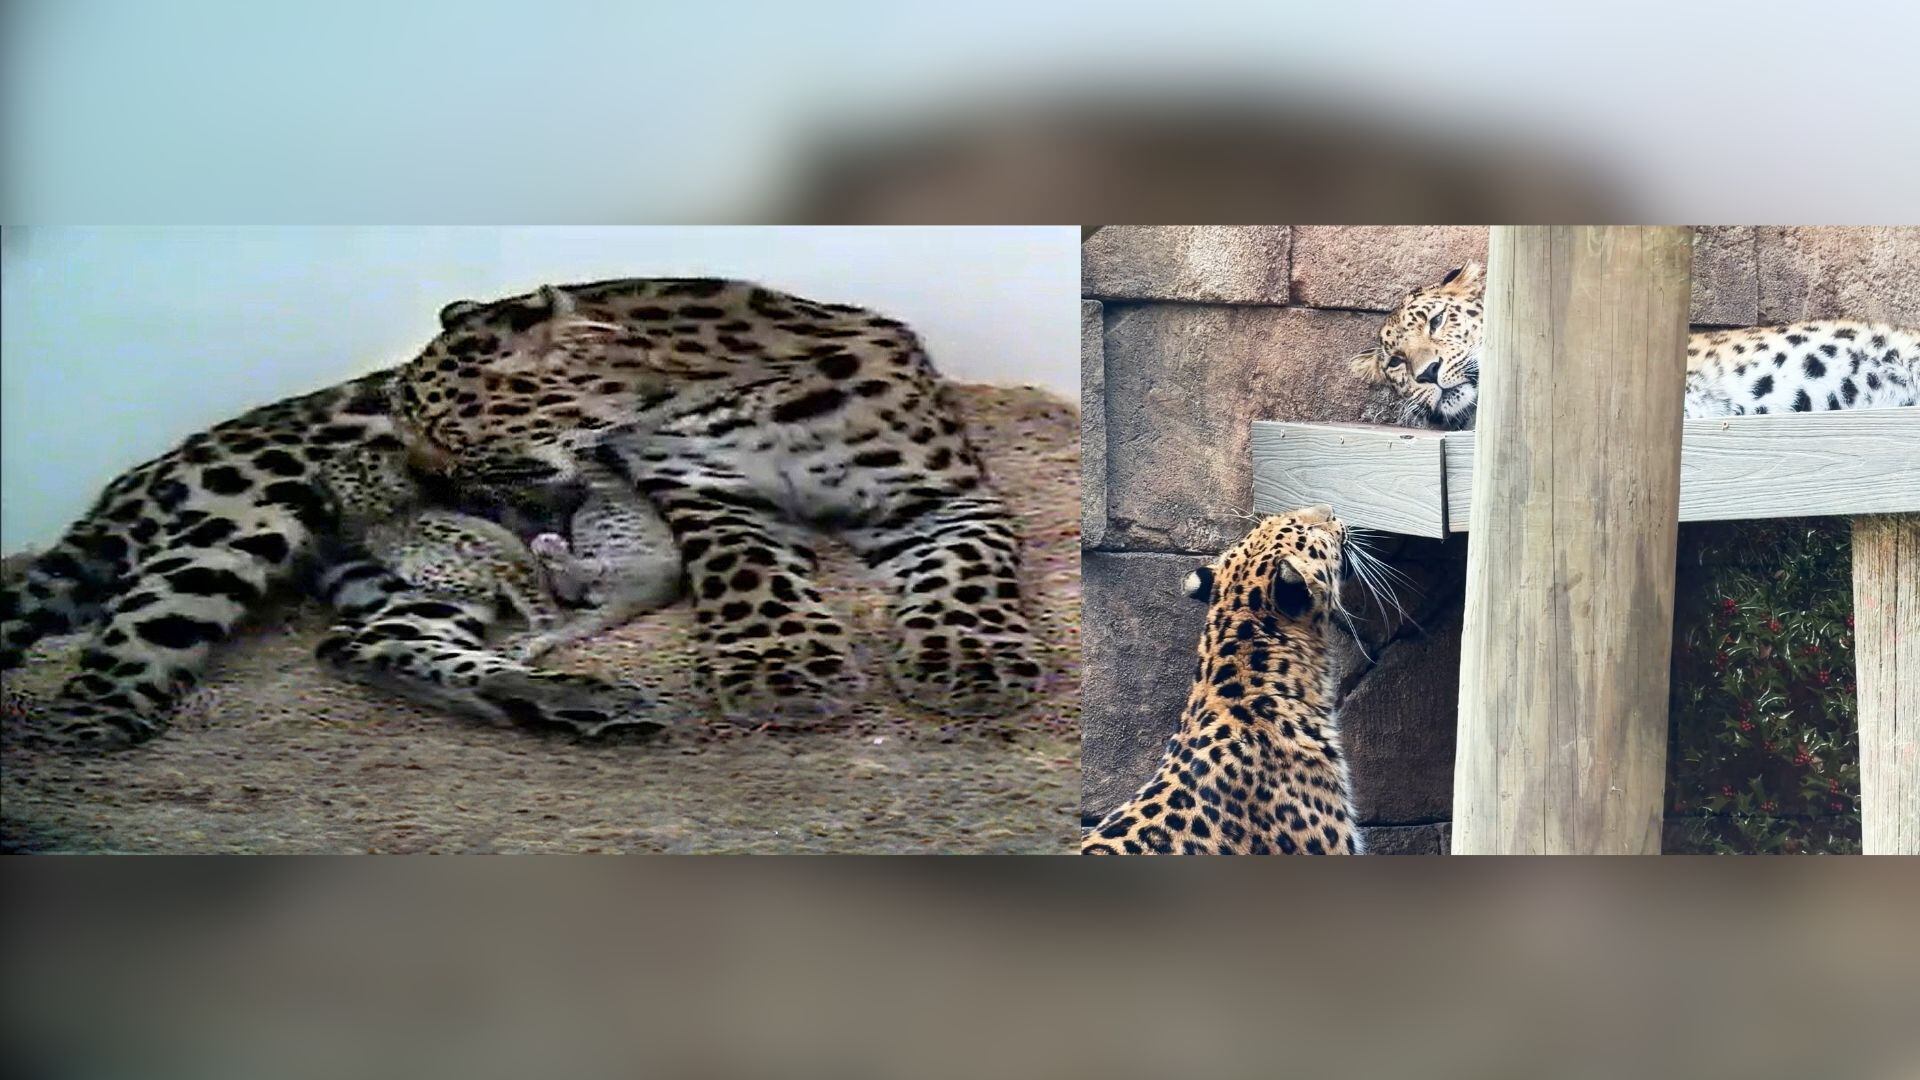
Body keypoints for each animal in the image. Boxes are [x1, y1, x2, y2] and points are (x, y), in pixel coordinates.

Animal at [0, 277, 1040, 748]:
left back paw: (574, 703)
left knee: (367, 644)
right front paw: (783, 667)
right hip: (237, 521)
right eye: (398, 414)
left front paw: (971, 660)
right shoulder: (705, 498)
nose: (417, 477)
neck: (750, 387)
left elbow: (968, 576)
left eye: (434, 422)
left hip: (405, 579)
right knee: (108, 676)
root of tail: (159, 460)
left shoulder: (942, 493)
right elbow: (753, 580)